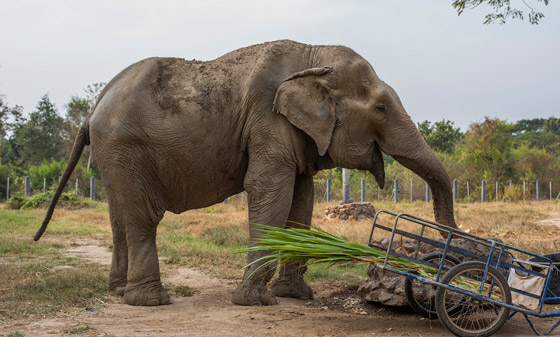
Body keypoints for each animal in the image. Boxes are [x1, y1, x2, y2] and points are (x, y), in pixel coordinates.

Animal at [34, 40, 456, 308]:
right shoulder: (267, 120)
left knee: (118, 216)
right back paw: (150, 302)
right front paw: (257, 301)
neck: (312, 55)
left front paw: (295, 296)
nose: (441, 257)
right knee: (141, 217)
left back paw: (119, 294)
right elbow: (270, 191)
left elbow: (301, 200)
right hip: (124, 146)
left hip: (112, 154)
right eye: (381, 108)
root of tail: (92, 110)